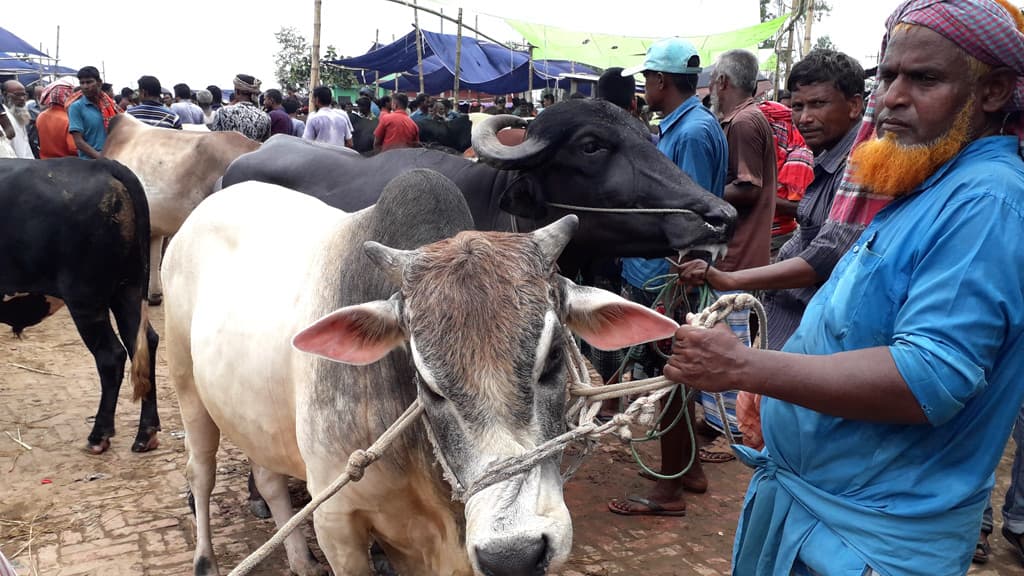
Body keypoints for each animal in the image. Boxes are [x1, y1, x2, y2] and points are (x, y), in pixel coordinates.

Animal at [0, 156, 159, 453]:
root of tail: (104, 165)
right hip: (128, 290)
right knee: (144, 343)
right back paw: (146, 434)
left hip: (86, 299)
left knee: (111, 355)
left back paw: (99, 435)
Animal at [161, 170, 679, 573]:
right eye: (425, 381)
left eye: (553, 357)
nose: (514, 554)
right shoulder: (338, 523)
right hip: (187, 385)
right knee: (199, 473)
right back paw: (205, 560)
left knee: (268, 480)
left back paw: (301, 562)